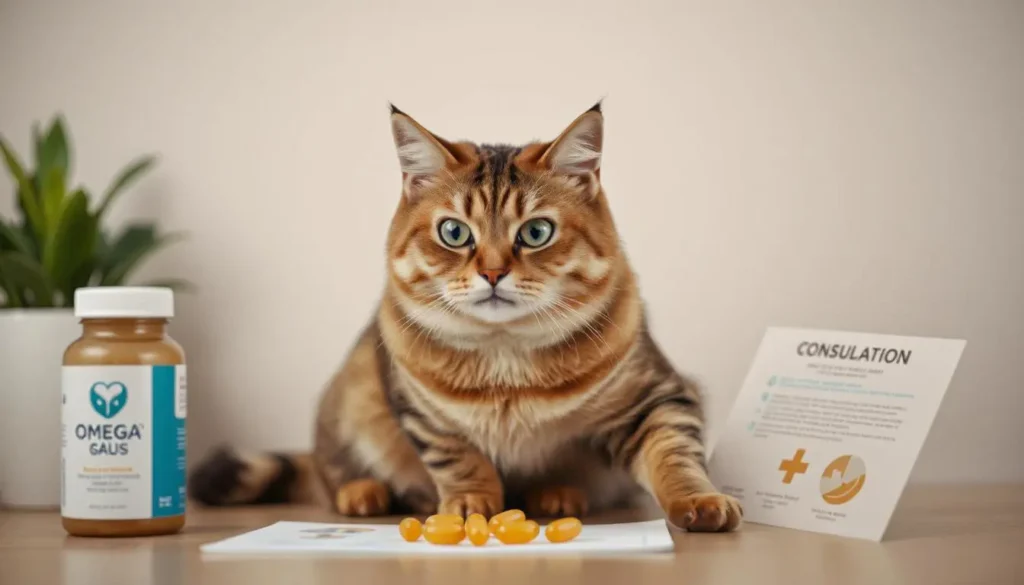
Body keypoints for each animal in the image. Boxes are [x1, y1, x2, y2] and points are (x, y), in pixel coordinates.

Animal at [188, 102, 741, 532]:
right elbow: (456, 455)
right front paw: (472, 501)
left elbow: (676, 455)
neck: (506, 358)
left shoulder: (658, 395)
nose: (493, 272)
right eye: (454, 233)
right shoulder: (417, 406)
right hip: (349, 396)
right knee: (329, 473)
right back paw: (365, 492)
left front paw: (699, 501)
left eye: (536, 232)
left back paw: (557, 493)